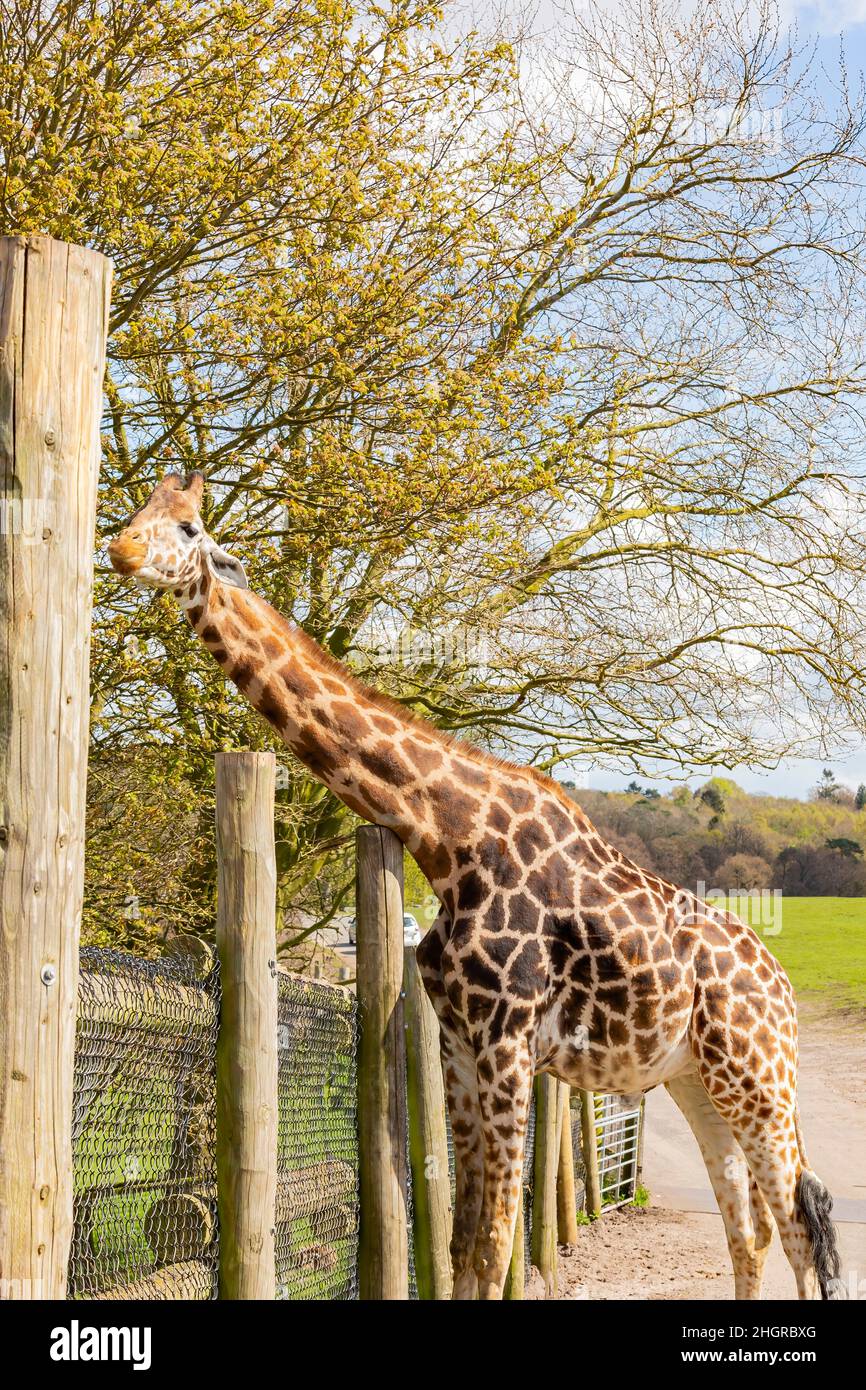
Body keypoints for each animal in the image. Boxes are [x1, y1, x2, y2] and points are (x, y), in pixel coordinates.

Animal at [108, 471, 845, 1302]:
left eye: (190, 526)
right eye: (137, 508)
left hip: (758, 1078)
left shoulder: (507, 1040)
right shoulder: (460, 1042)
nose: (121, 549)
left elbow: (495, 1242)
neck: (447, 839)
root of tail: (784, 991)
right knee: (750, 1231)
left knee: (800, 1226)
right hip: (696, 1080)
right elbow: (462, 1242)